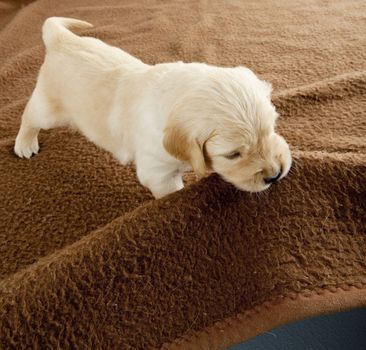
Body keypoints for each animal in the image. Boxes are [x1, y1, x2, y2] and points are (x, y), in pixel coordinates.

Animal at [13, 17, 292, 198]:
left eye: (271, 130)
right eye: (233, 154)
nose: (275, 175)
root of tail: (61, 39)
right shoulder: (157, 171)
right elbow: (169, 193)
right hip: (50, 109)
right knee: (29, 115)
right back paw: (25, 143)